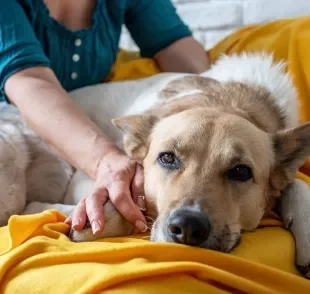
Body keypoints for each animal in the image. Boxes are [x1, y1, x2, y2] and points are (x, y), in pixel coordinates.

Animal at [0, 53, 310, 278]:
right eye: (168, 158)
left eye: (241, 172)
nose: (188, 227)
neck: (225, 101)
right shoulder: (85, 181)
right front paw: (101, 217)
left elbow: (297, 183)